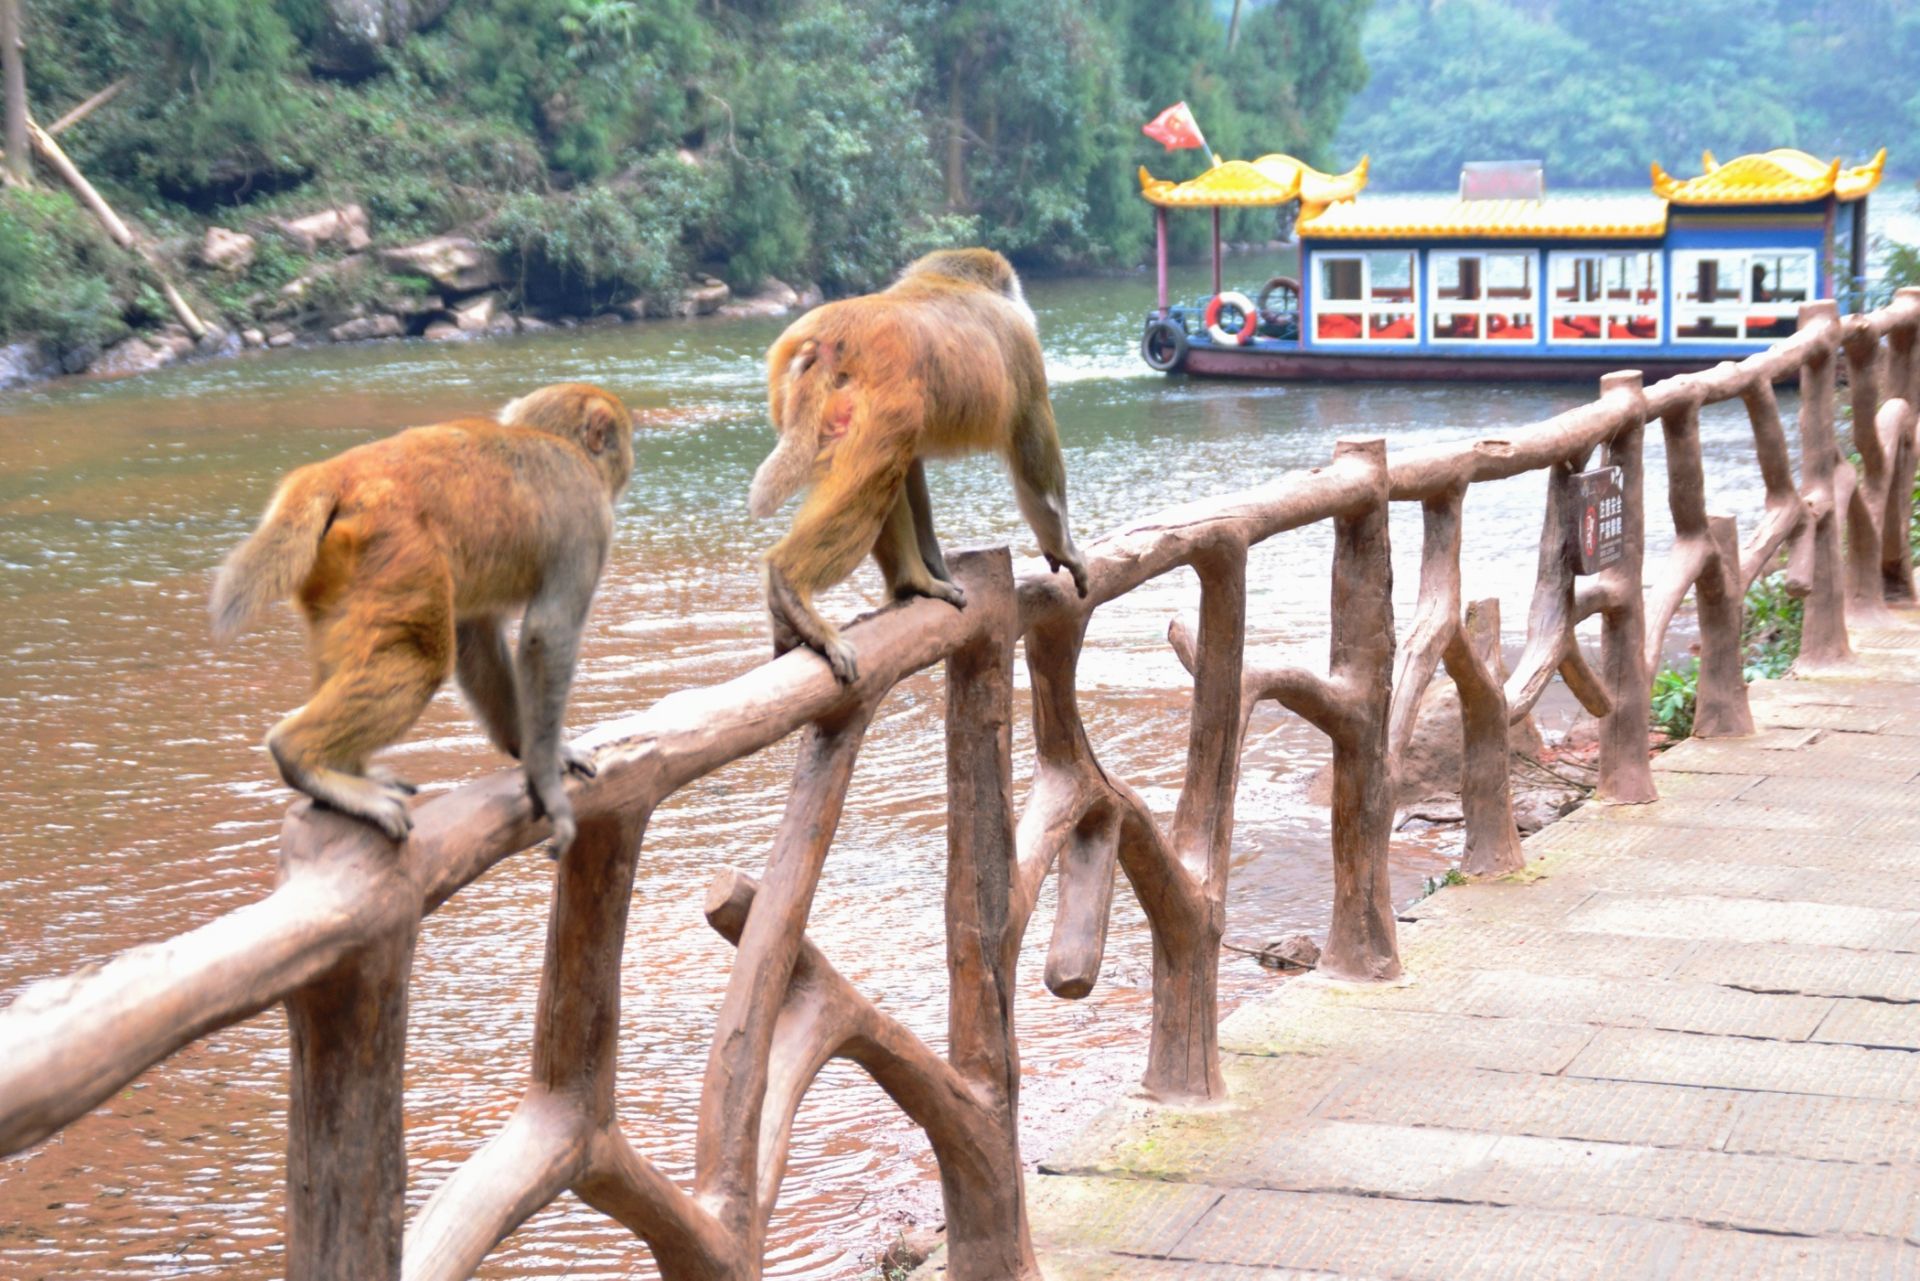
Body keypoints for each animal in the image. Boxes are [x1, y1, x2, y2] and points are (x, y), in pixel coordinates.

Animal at [211, 386, 633, 856]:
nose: (629, 461)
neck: (553, 441)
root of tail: (334, 473)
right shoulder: (589, 522)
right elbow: (547, 635)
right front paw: (546, 781)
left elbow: (475, 632)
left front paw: (526, 746)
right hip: (397, 547)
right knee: (420, 661)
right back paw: (300, 758)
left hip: (336, 566)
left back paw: (340, 771)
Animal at [744, 242, 1090, 679]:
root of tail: (824, 342)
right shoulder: (1022, 349)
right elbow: (1033, 454)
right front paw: (1064, 549)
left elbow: (912, 470)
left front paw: (937, 568)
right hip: (873, 402)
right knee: (875, 479)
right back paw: (791, 589)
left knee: (886, 470)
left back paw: (911, 583)